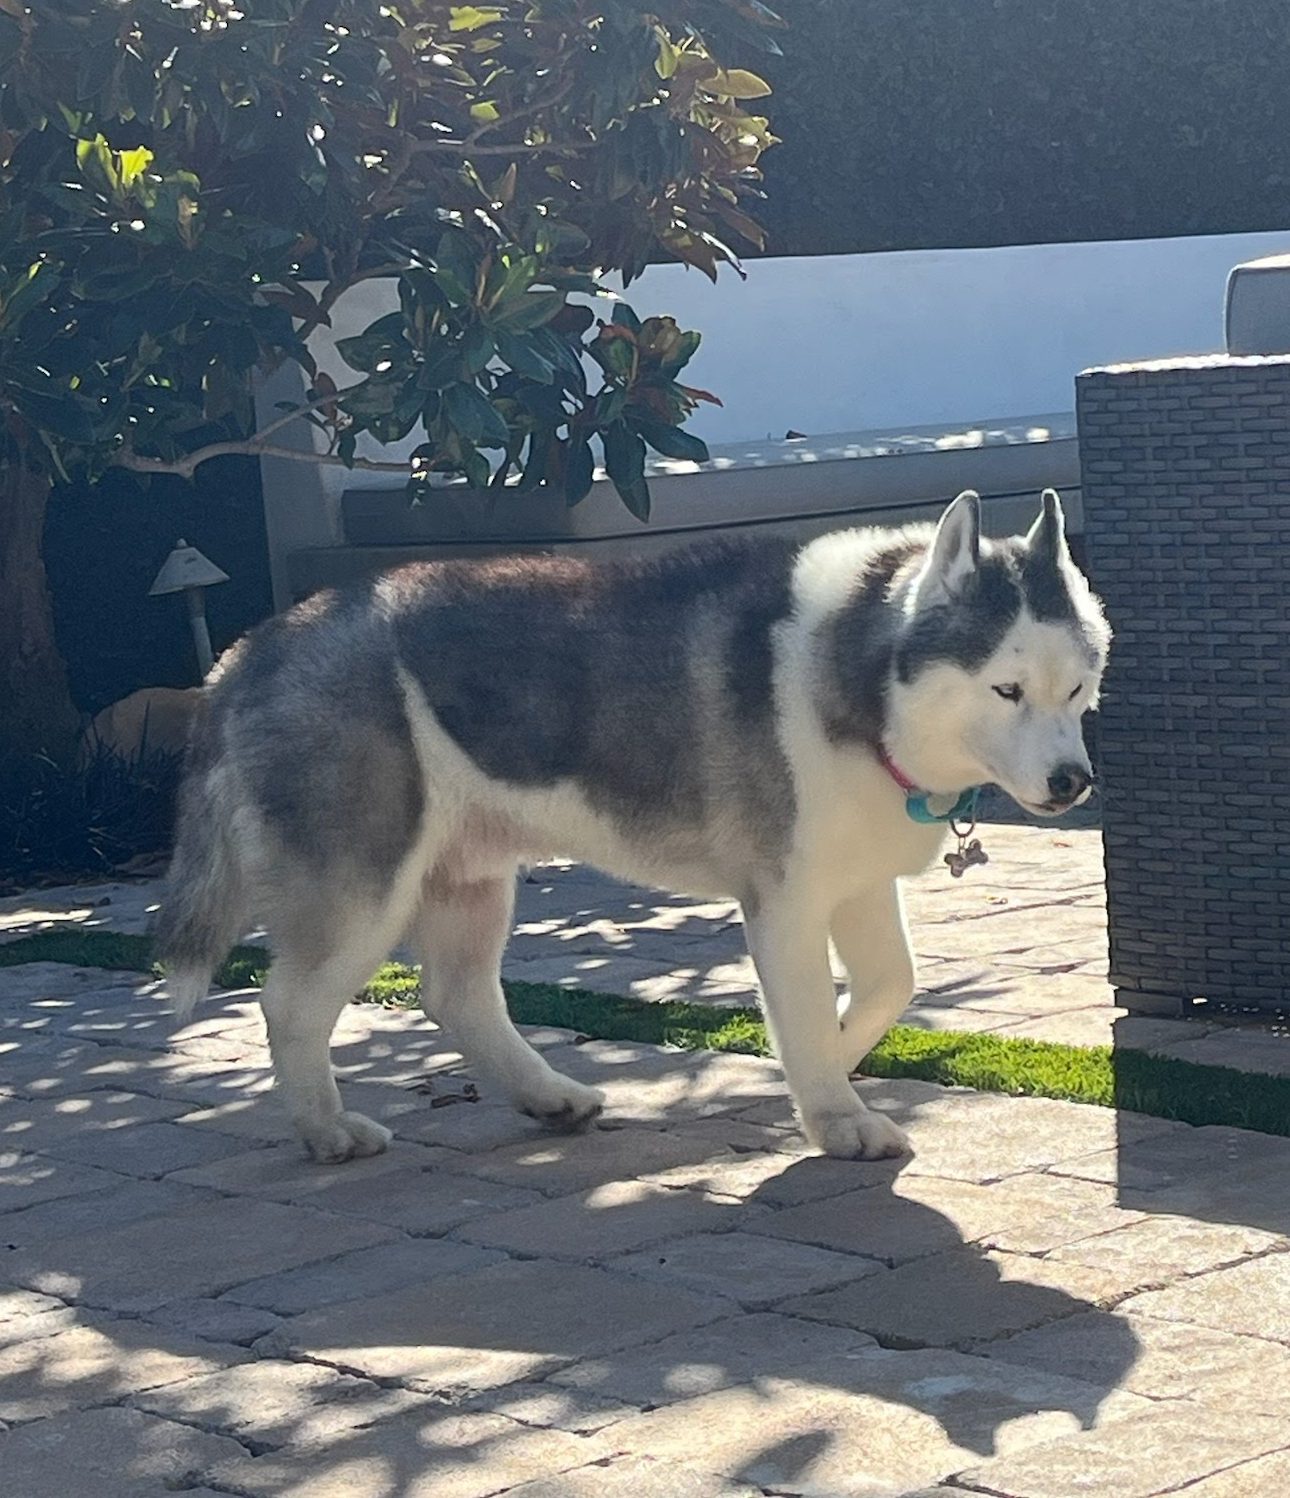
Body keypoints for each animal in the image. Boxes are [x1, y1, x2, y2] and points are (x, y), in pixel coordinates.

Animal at [158, 485, 1108, 1162]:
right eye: (1006, 689)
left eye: (1077, 687)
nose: (1073, 783)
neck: (858, 670)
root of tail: (253, 647)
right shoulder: (785, 901)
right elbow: (806, 1010)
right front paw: (835, 1114)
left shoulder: (858, 884)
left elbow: (890, 988)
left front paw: (818, 1075)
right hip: (366, 887)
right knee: (289, 1003)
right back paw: (327, 1129)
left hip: (471, 878)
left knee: (456, 995)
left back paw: (548, 1096)